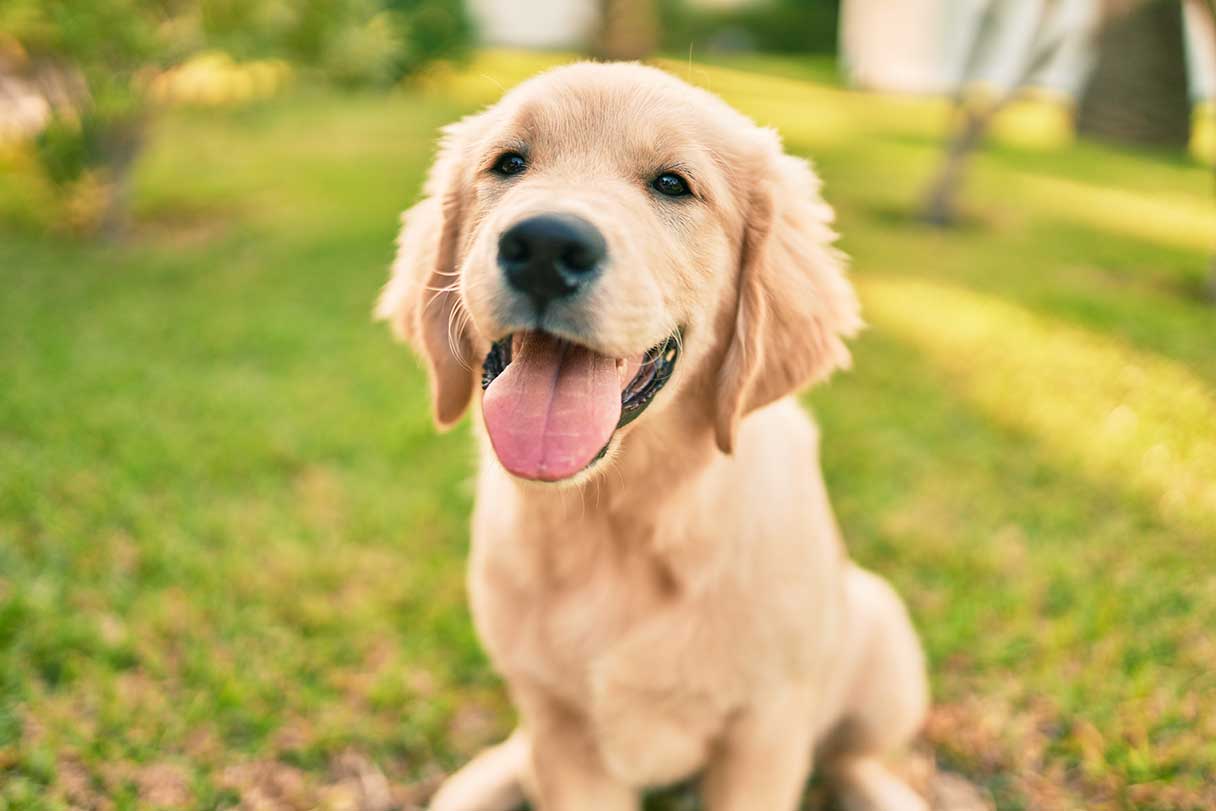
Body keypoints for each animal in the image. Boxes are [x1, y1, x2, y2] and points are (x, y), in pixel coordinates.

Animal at [379, 60, 929, 807]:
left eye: (673, 184)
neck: (620, 518)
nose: (545, 246)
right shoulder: (565, 732)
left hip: (884, 643)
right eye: (509, 163)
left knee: (849, 755)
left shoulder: (765, 726)